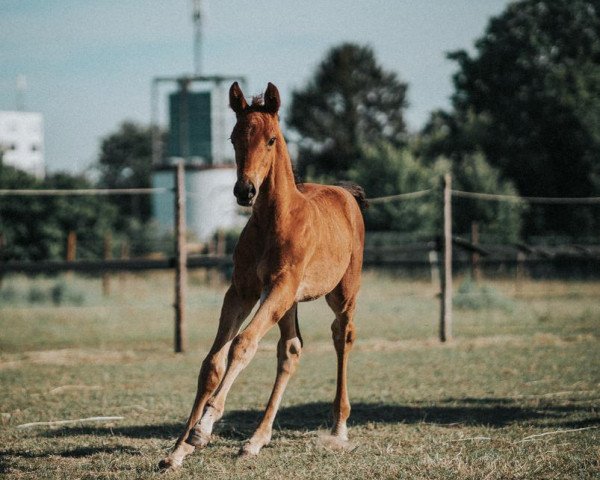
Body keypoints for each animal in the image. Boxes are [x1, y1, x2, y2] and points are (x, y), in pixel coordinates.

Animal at [161, 81, 366, 468]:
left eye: (271, 139)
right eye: (233, 138)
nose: (245, 190)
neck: (275, 220)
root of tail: (345, 193)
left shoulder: (280, 286)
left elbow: (243, 345)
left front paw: (204, 427)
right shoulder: (242, 291)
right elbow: (213, 361)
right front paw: (179, 448)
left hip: (342, 292)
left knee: (342, 335)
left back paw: (339, 428)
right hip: (290, 302)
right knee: (291, 350)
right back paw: (256, 439)